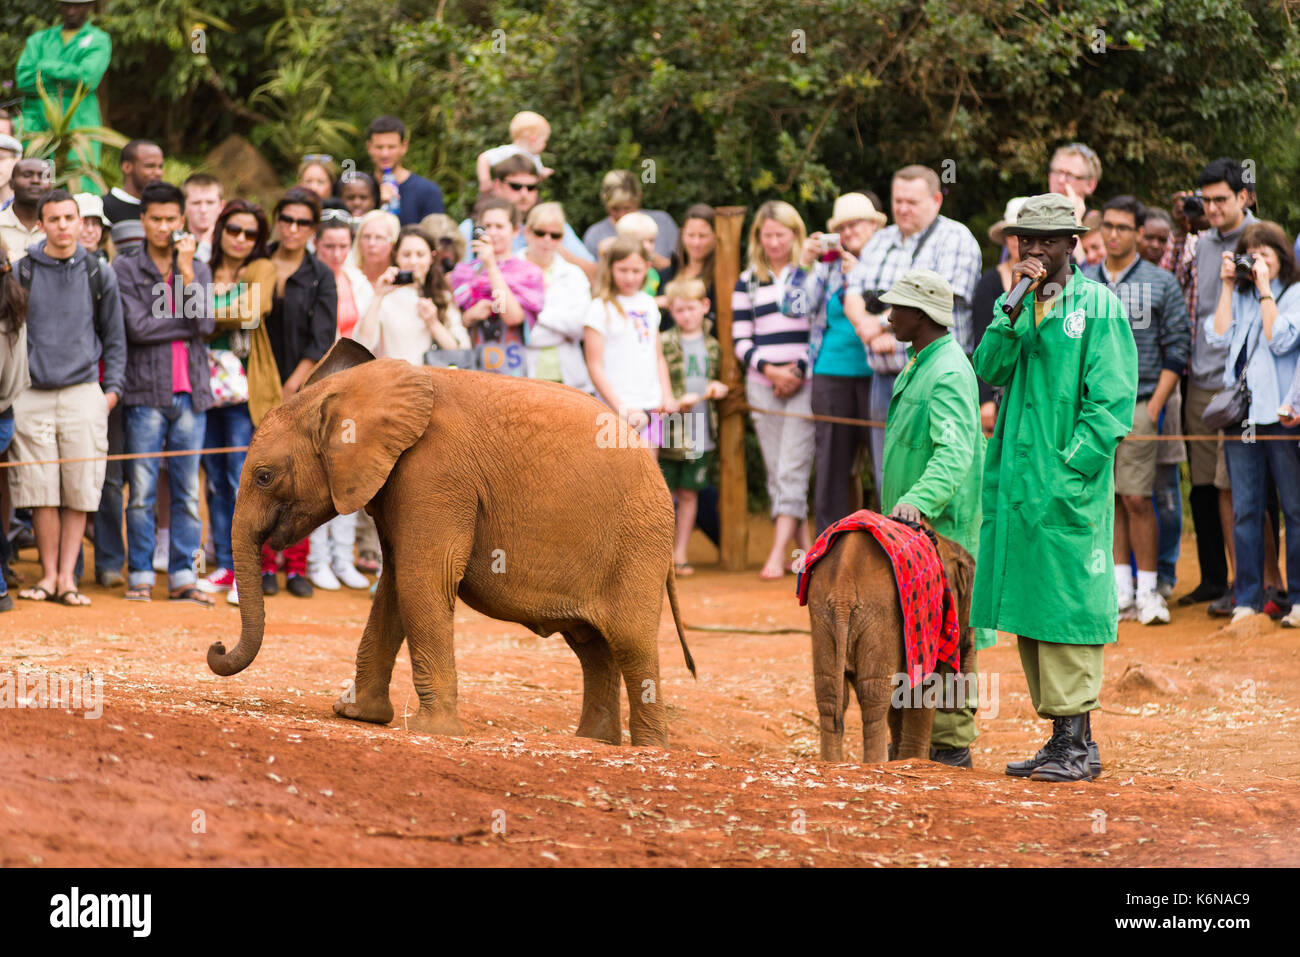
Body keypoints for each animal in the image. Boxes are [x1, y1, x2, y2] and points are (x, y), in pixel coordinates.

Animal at [210, 338, 702, 748]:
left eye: (264, 476)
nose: (216, 647)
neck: (359, 390)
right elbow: (395, 587)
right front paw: (356, 715)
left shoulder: (436, 474)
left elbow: (421, 581)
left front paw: (433, 730)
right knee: (593, 648)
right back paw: (595, 742)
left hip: (639, 539)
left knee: (631, 644)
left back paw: (648, 749)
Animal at [800, 522, 977, 764]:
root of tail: (842, 594)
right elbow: (920, 692)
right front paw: (913, 760)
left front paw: (902, 760)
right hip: (879, 616)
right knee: (874, 696)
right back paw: (877, 763)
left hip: (823, 616)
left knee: (829, 694)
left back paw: (832, 762)